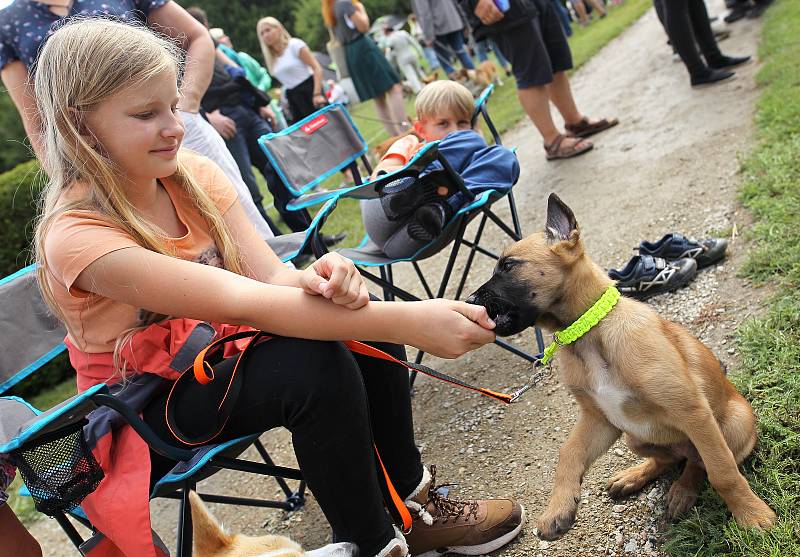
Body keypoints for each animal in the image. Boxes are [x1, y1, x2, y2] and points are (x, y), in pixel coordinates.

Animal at [468, 194, 776, 540]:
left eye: (508, 266)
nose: (469, 300)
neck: (587, 334)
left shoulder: (692, 411)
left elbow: (723, 472)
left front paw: (751, 515)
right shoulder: (600, 419)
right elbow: (567, 452)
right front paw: (558, 508)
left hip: (732, 423)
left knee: (699, 462)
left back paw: (683, 490)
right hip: (634, 437)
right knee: (673, 458)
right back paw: (633, 477)